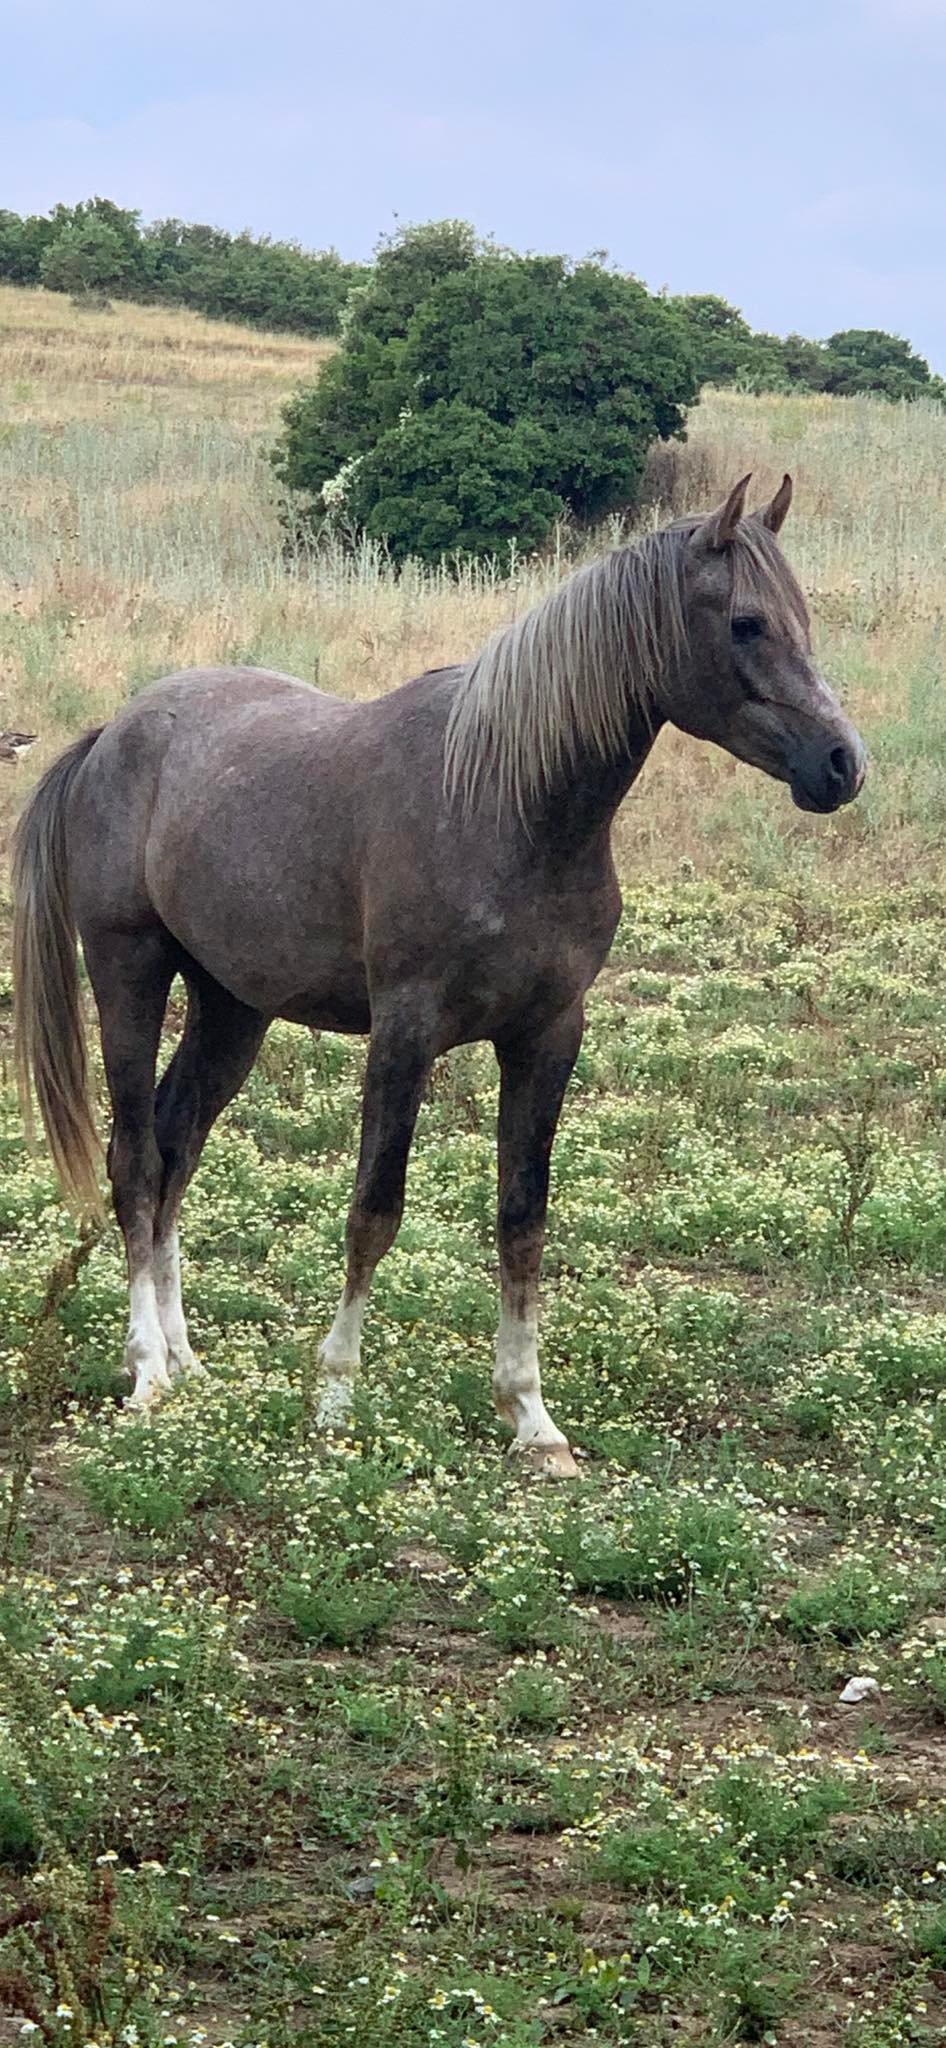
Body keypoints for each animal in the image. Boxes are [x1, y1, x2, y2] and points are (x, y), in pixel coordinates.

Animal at [12, 474, 866, 1476]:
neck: (510, 804)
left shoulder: (548, 1035)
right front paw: (335, 1397)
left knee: (180, 1143)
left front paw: (532, 1417)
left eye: (799, 616)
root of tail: (114, 733)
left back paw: (186, 1360)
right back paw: (147, 1368)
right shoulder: (406, 1031)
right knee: (138, 1157)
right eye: (744, 624)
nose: (842, 764)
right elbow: (374, 1210)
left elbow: (523, 1220)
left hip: (232, 1007)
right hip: (130, 974)